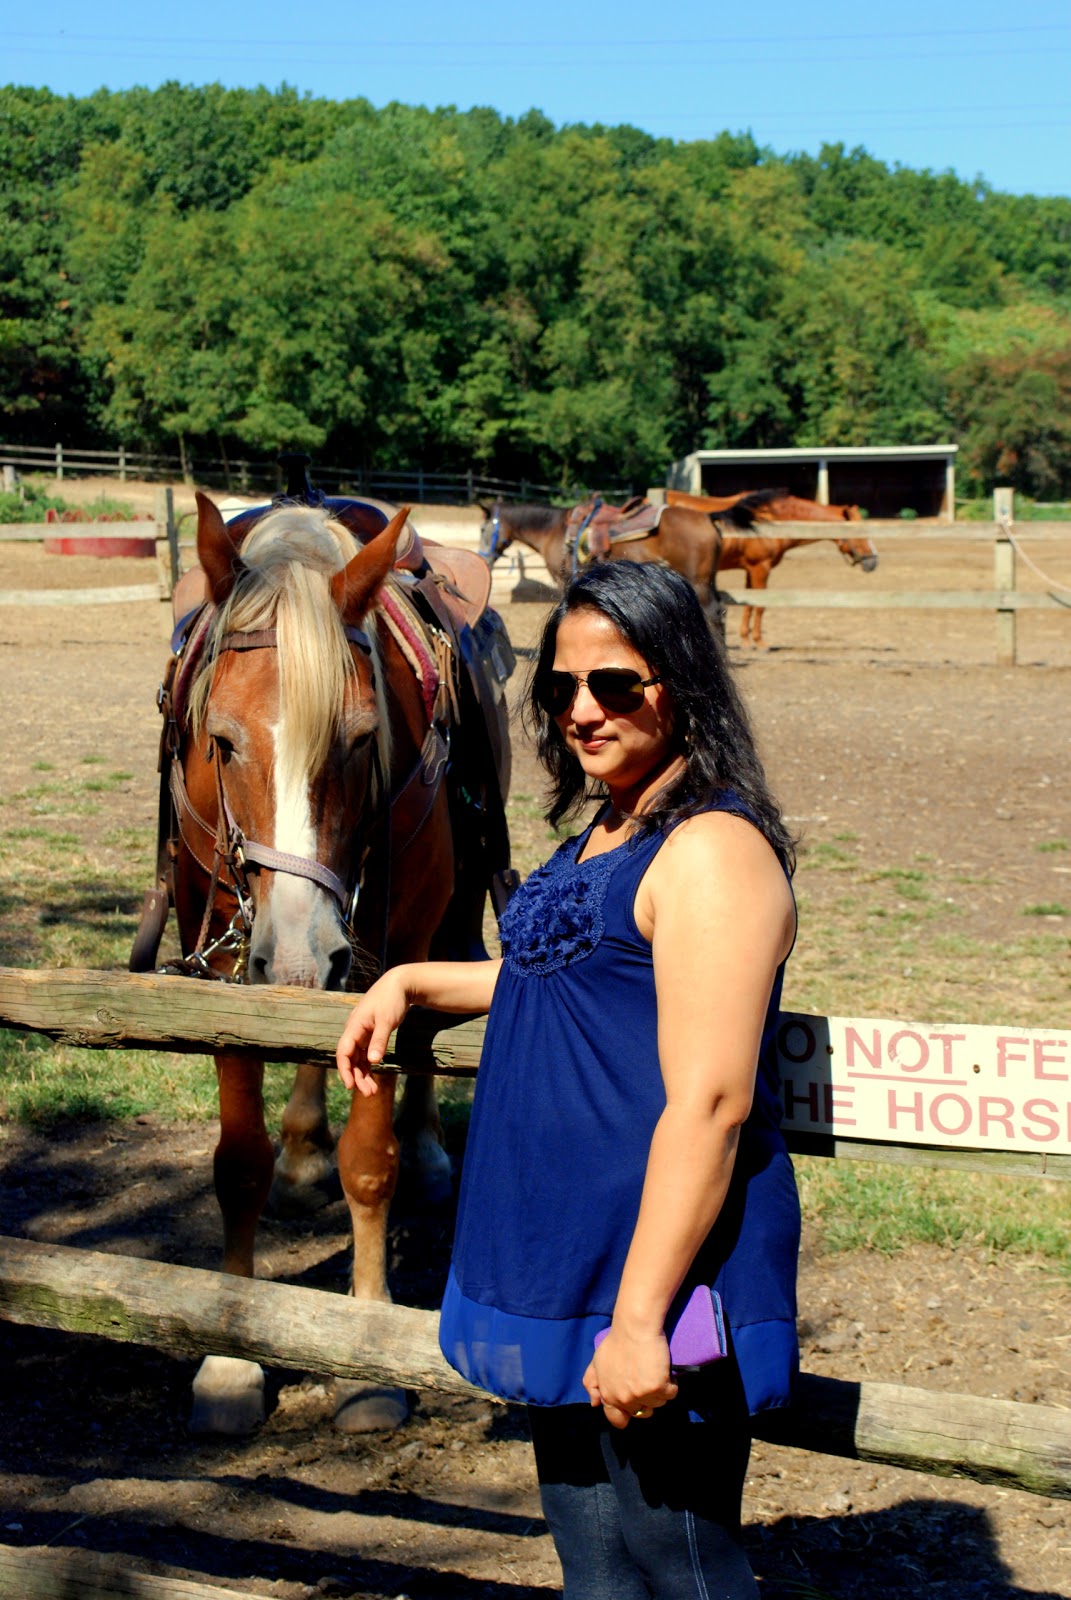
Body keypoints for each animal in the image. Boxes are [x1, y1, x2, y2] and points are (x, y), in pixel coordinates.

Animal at [131, 464, 515, 1440]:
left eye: (361, 737)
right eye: (221, 740)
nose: (305, 953)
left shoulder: (386, 951)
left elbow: (370, 1163)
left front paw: (367, 1357)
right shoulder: (225, 961)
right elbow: (239, 1161)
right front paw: (231, 1353)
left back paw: (426, 1152)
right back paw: (304, 1146)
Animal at [669, 486, 877, 643]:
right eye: (858, 531)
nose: (873, 561)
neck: (775, 519)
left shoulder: (750, 569)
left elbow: (750, 604)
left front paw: (746, 638)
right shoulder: (761, 567)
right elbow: (760, 605)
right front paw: (759, 641)